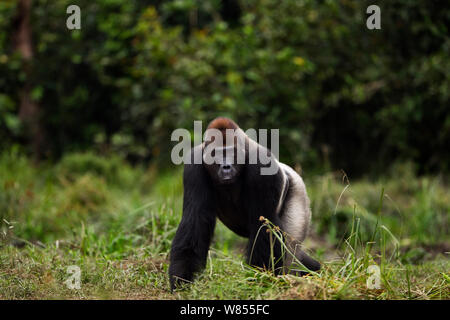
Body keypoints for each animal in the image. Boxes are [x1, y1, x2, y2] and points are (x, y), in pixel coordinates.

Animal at [169, 117, 320, 290]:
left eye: (231, 153)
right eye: (216, 154)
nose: (226, 167)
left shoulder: (262, 165)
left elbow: (264, 223)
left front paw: (261, 278)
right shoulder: (194, 167)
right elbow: (196, 219)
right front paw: (181, 278)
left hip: (298, 191)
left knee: (290, 251)